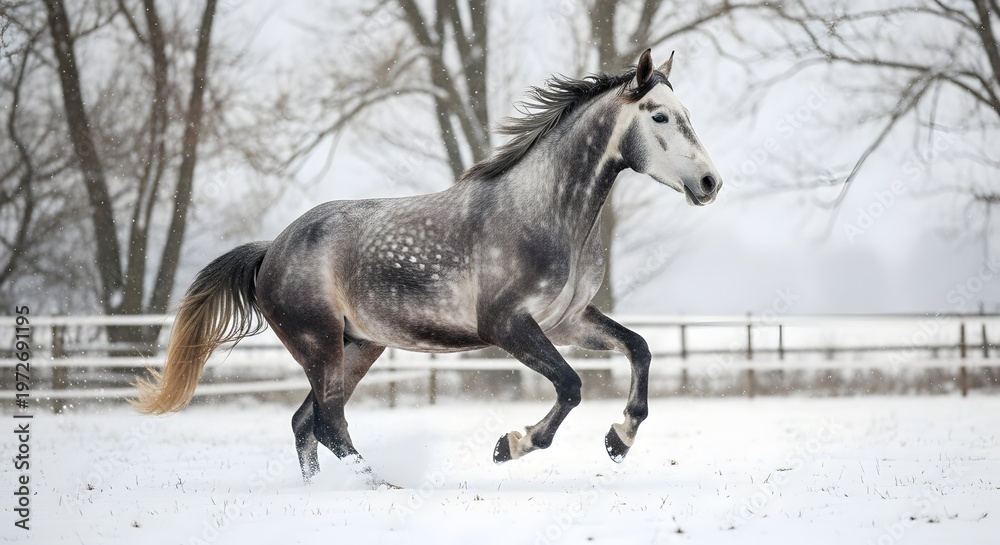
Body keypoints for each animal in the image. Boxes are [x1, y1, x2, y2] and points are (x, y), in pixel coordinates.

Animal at [132, 48, 722, 488]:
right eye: (661, 116)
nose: (710, 183)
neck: (548, 211)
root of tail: (271, 249)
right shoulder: (507, 326)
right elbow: (571, 385)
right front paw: (511, 445)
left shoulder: (567, 322)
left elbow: (639, 348)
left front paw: (619, 439)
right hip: (319, 344)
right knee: (329, 423)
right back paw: (380, 487)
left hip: (358, 346)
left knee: (307, 423)